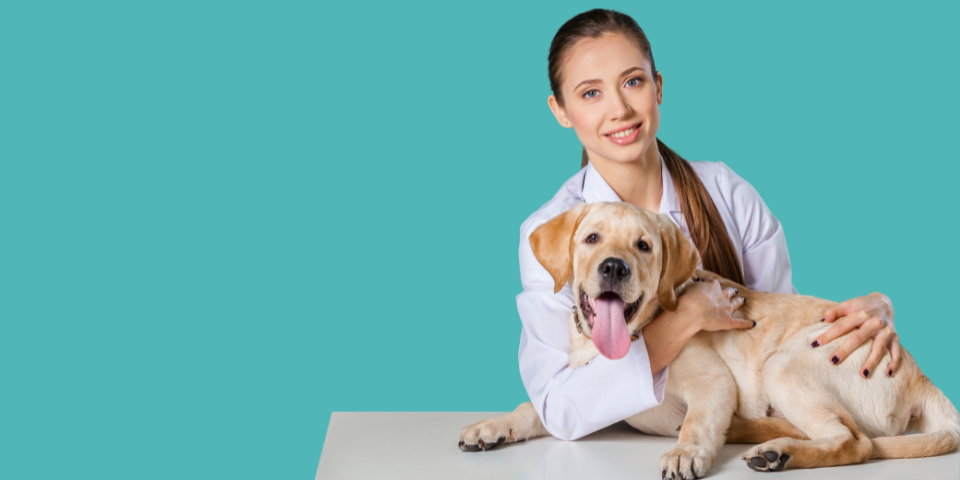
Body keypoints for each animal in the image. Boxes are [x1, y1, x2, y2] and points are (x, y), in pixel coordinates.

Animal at [460, 202, 960, 476]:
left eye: (644, 246)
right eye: (592, 238)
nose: (614, 268)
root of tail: (923, 378)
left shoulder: (712, 384)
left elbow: (698, 422)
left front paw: (685, 453)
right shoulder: (582, 400)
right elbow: (535, 406)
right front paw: (491, 426)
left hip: (785, 362)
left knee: (855, 442)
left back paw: (777, 452)